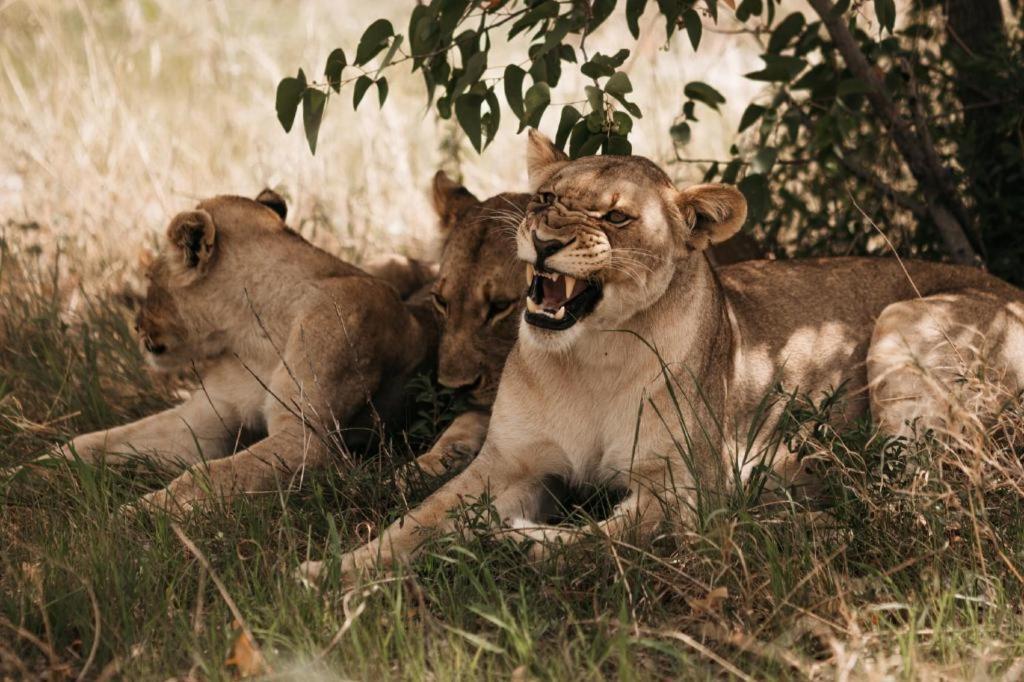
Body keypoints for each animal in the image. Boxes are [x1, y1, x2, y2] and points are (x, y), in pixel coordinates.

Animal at [33, 187, 444, 509]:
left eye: (150, 278)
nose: (136, 326)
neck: (251, 336)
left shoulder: (308, 438)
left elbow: (207, 474)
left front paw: (136, 517)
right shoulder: (199, 421)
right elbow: (101, 440)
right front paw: (35, 470)